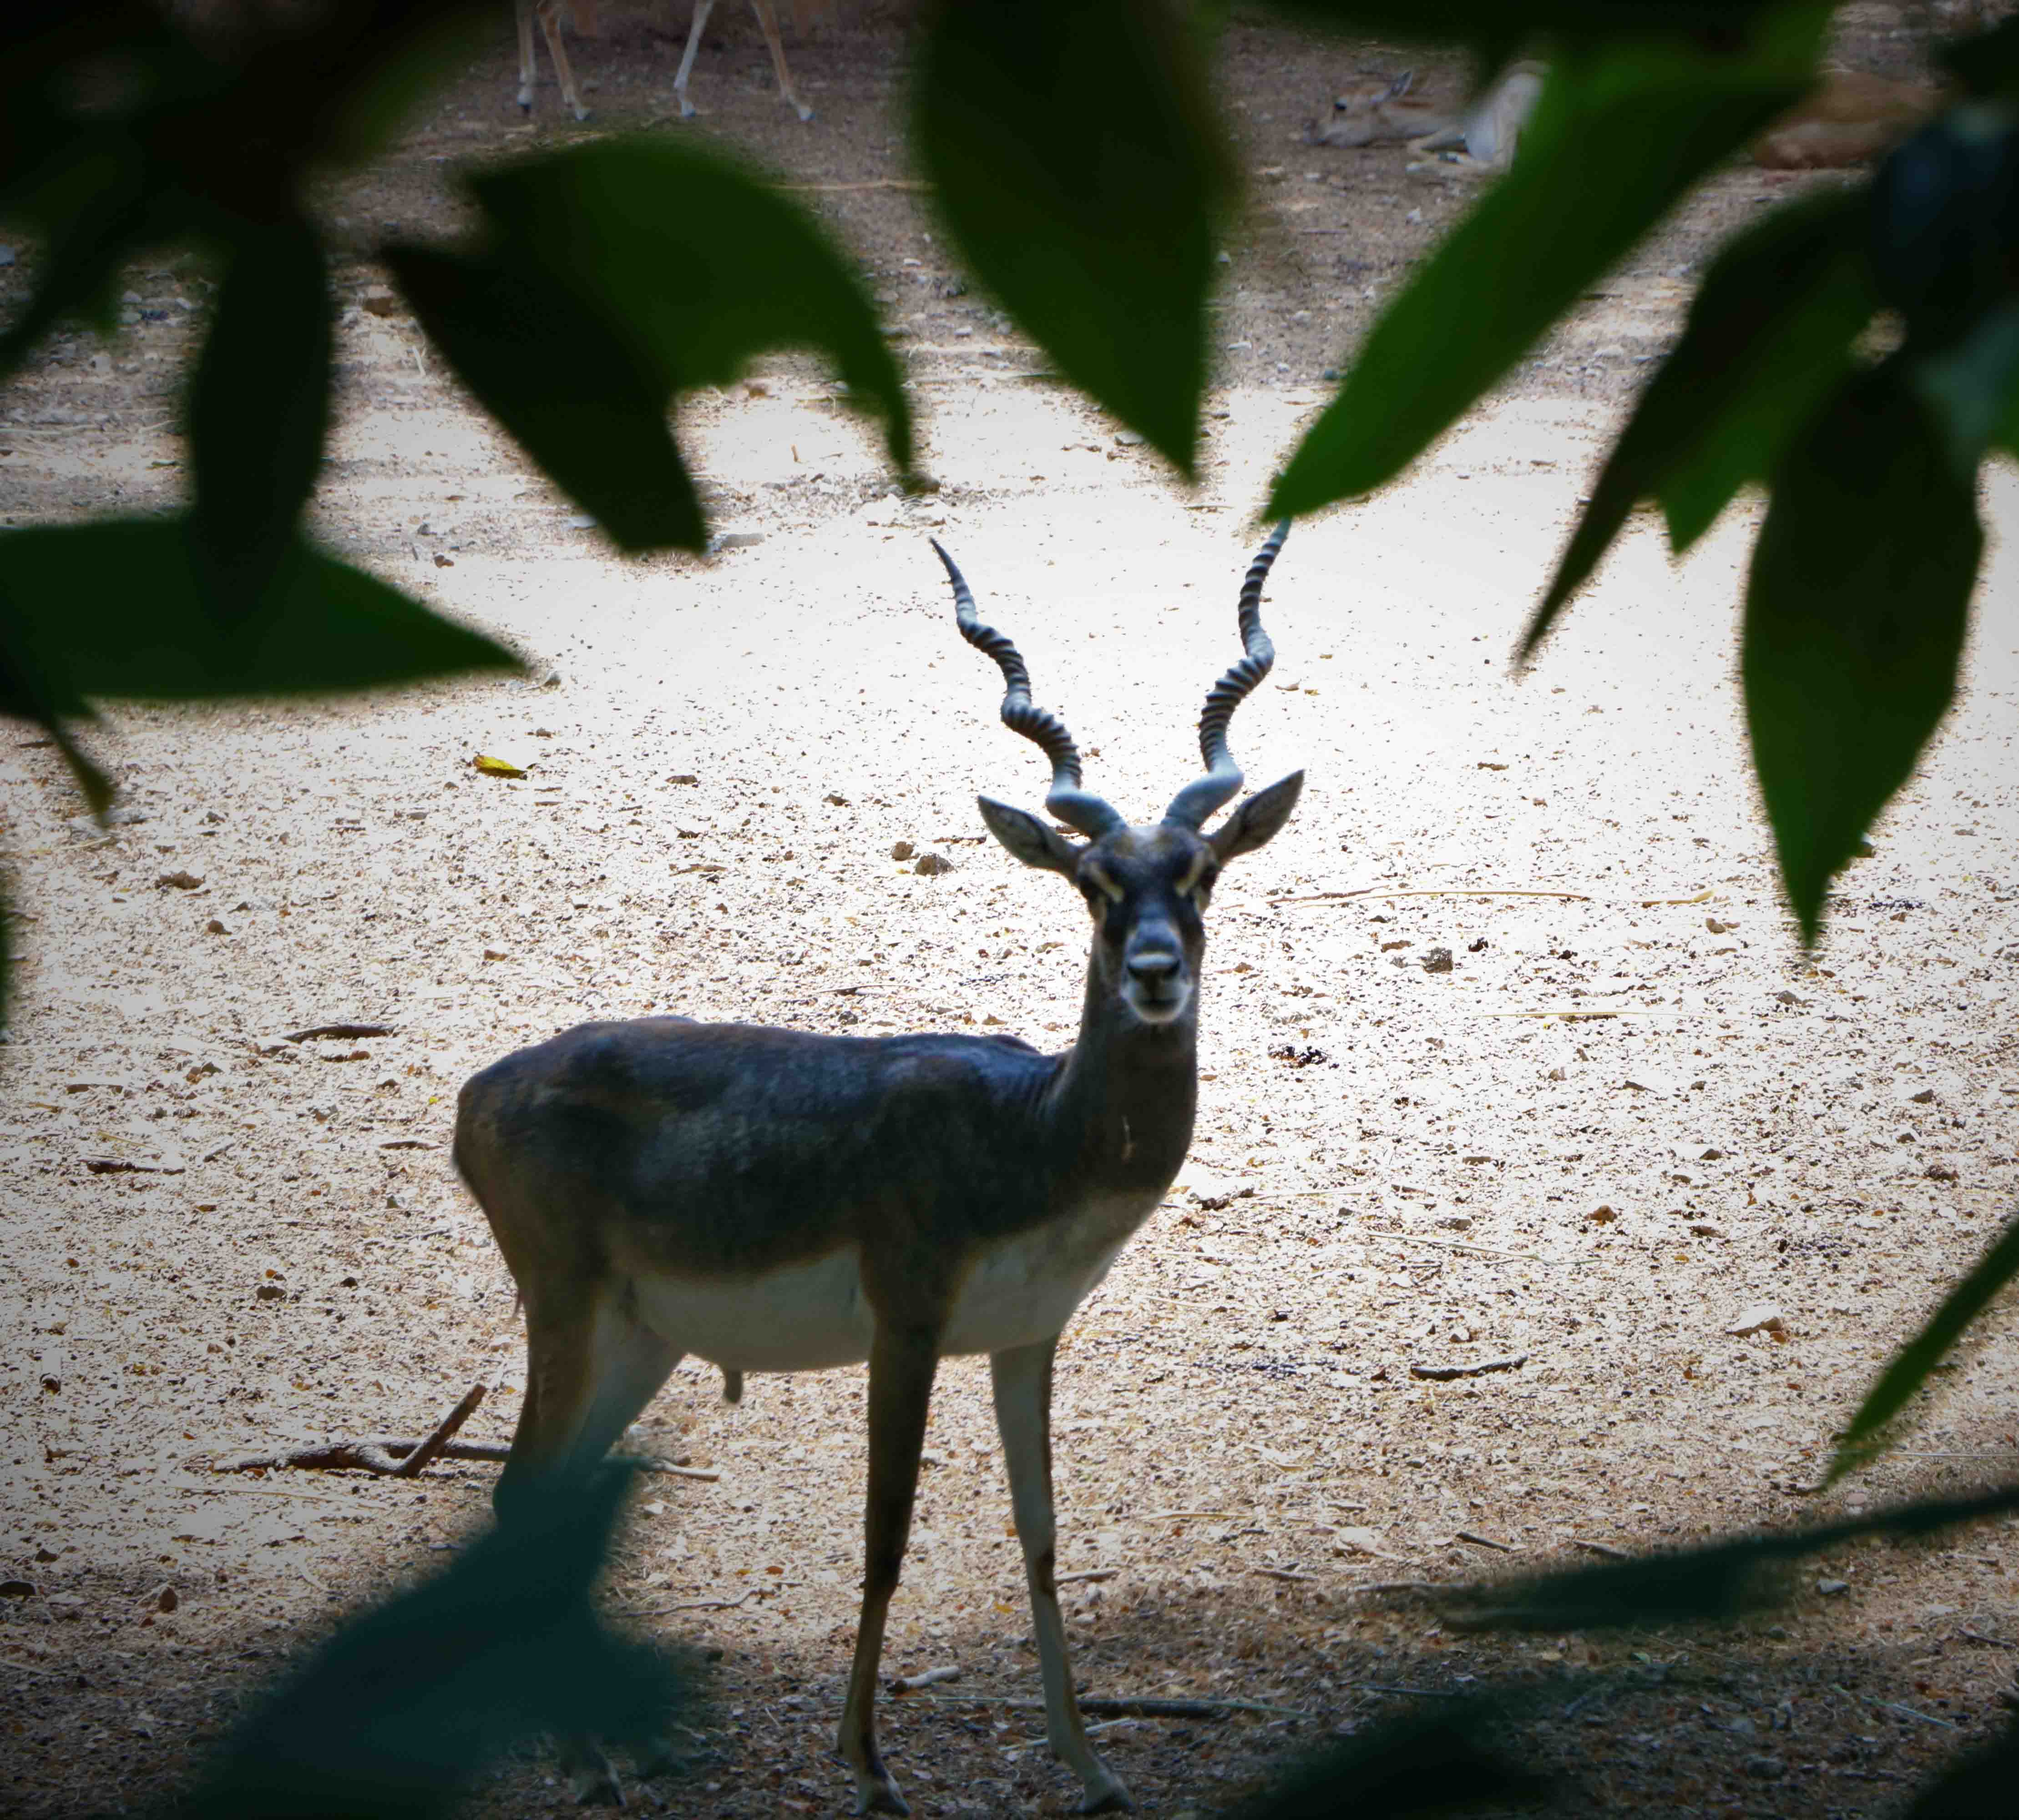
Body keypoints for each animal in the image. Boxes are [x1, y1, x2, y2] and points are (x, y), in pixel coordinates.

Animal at [458, 524, 1308, 1808]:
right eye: (1092, 883)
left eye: (1199, 872)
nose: (1156, 971)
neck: (1030, 1130)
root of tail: (481, 1090)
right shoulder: (906, 1326)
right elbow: (885, 1533)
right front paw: (868, 1765)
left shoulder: (1024, 1338)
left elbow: (1040, 1534)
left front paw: (1090, 1763)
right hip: (566, 1308)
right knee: (514, 1494)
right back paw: (592, 1760)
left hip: (642, 1336)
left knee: (545, 1502)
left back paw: (614, 1747)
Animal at [512, 0, 811, 124]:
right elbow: (771, 28)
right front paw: (799, 103)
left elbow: (701, 16)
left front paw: (683, 96)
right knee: (547, 12)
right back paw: (578, 105)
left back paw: (527, 94)